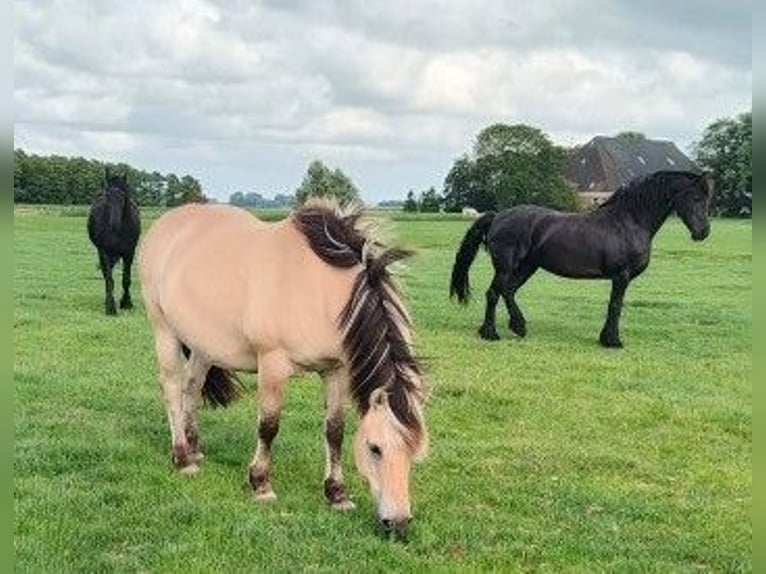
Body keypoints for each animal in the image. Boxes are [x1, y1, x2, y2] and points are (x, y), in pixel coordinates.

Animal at [87, 170, 141, 315]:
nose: (114, 224)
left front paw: (126, 303)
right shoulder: (104, 252)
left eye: (123, 195)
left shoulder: (129, 253)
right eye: (107, 196)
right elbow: (109, 279)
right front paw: (110, 307)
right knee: (106, 274)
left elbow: (126, 279)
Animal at [138, 201, 428, 535]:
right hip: (163, 329)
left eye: (415, 451)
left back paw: (194, 447)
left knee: (192, 388)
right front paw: (261, 484)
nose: (399, 522)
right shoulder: (273, 365)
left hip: (203, 345)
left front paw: (337, 494)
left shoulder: (336, 370)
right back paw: (183, 458)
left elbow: (335, 431)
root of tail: (169, 221)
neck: (323, 290)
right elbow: (269, 426)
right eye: (374, 448)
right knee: (172, 388)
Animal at [450, 170, 713, 348]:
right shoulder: (621, 276)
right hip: (505, 266)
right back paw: (490, 333)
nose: (703, 232)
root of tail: (497, 216)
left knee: (509, 291)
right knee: (494, 293)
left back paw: (518, 326)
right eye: (696, 198)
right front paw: (612, 340)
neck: (629, 221)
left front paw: (607, 338)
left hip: (528, 267)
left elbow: (614, 306)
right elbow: (615, 306)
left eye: (707, 199)